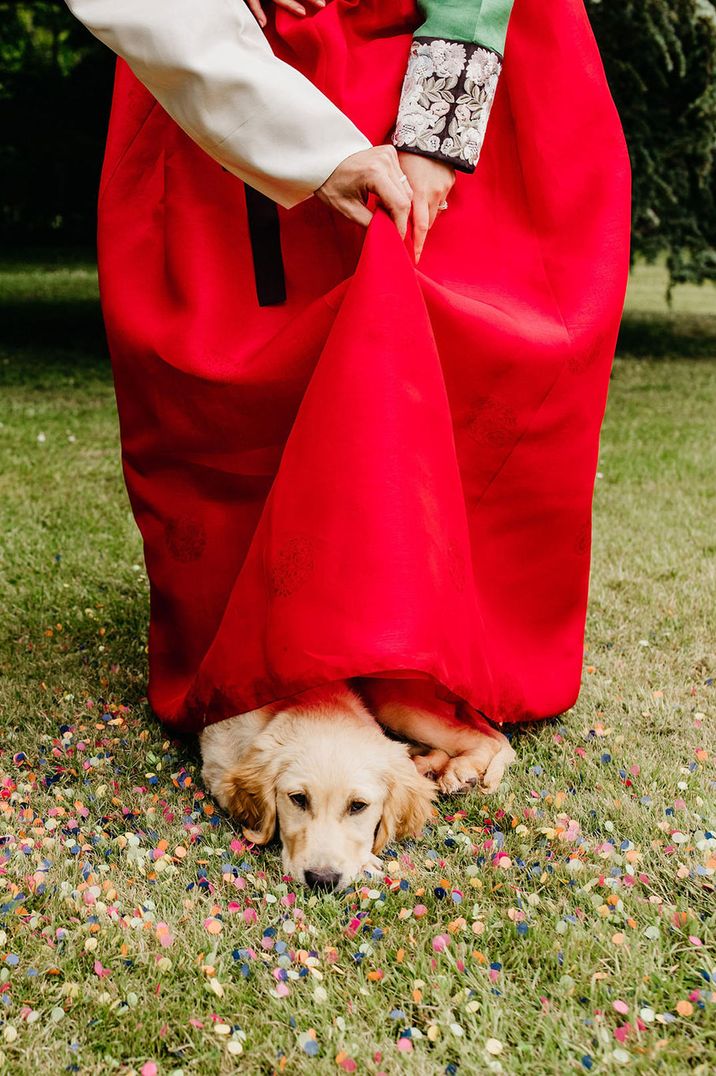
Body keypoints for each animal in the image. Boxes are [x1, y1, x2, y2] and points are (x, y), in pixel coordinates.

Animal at [199, 680, 514, 890]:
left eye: (358, 806)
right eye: (298, 799)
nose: (322, 880)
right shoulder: (217, 764)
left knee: (487, 740)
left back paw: (459, 773)